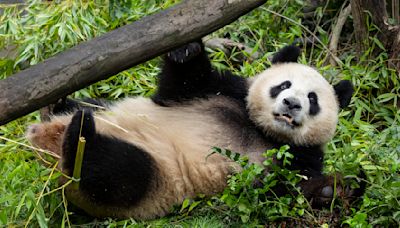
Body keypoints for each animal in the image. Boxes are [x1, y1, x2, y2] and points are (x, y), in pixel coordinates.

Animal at [27, 40, 360, 219]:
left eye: (313, 99)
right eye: (283, 85)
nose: (291, 104)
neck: (262, 130)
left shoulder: (299, 157)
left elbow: (283, 193)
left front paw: (335, 189)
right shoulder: (223, 92)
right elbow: (182, 83)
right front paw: (186, 49)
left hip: (154, 181)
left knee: (116, 172)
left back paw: (79, 138)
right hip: (105, 110)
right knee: (87, 109)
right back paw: (57, 108)